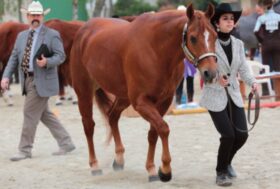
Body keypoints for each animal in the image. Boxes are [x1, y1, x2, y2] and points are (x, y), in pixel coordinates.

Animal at [69, 4, 217, 182]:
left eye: (215, 36)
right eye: (193, 38)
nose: (210, 73)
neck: (156, 49)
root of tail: (84, 29)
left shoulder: (164, 101)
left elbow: (154, 133)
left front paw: (152, 169)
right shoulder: (141, 103)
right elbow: (163, 128)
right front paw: (165, 170)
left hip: (123, 97)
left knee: (112, 117)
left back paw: (119, 160)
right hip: (84, 92)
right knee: (89, 126)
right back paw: (95, 165)